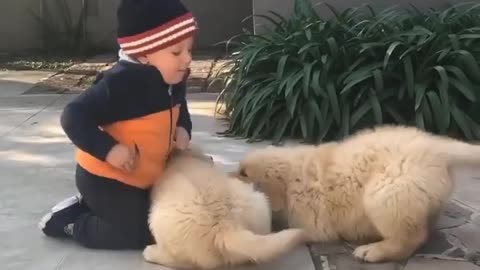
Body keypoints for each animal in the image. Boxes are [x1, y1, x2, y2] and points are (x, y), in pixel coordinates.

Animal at [234, 125, 480, 262]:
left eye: (244, 173)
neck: (292, 180)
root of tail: (438, 148)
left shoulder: (311, 220)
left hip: (385, 192)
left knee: (409, 238)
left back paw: (373, 251)